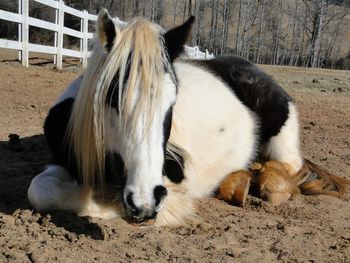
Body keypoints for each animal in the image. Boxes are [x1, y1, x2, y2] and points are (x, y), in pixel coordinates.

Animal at [26, 9, 348, 226]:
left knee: (286, 165)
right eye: (112, 98)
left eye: (172, 103)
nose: (144, 201)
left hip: (281, 139)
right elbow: (40, 190)